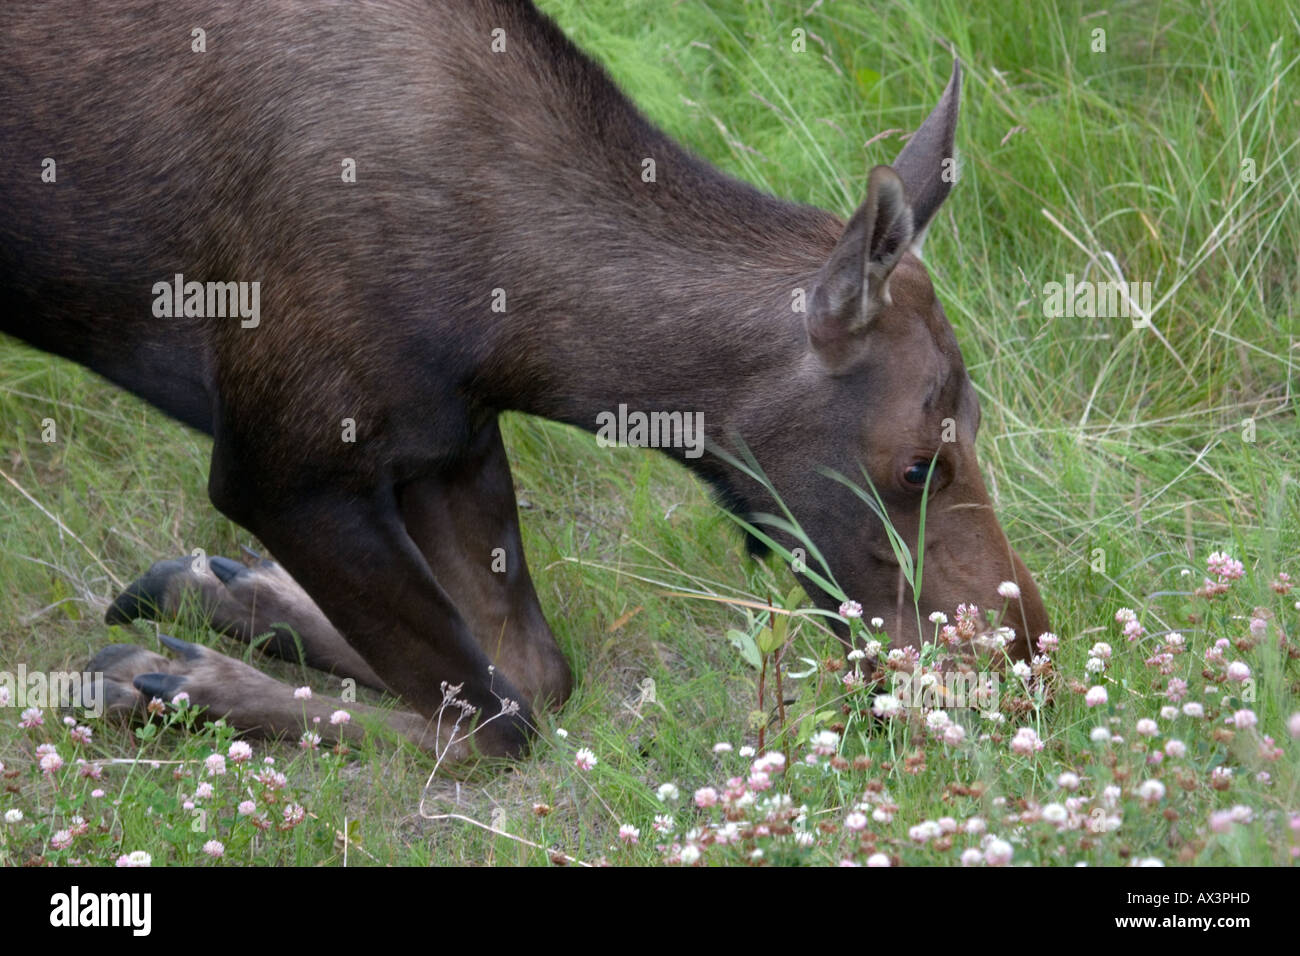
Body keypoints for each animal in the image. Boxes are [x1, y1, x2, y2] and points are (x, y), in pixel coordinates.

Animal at [0, 1, 1050, 764]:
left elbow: (529, 670)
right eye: (917, 464)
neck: (525, 339)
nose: (1026, 658)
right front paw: (173, 682)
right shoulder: (282, 462)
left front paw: (232, 603)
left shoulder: (446, 436)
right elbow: (495, 721)